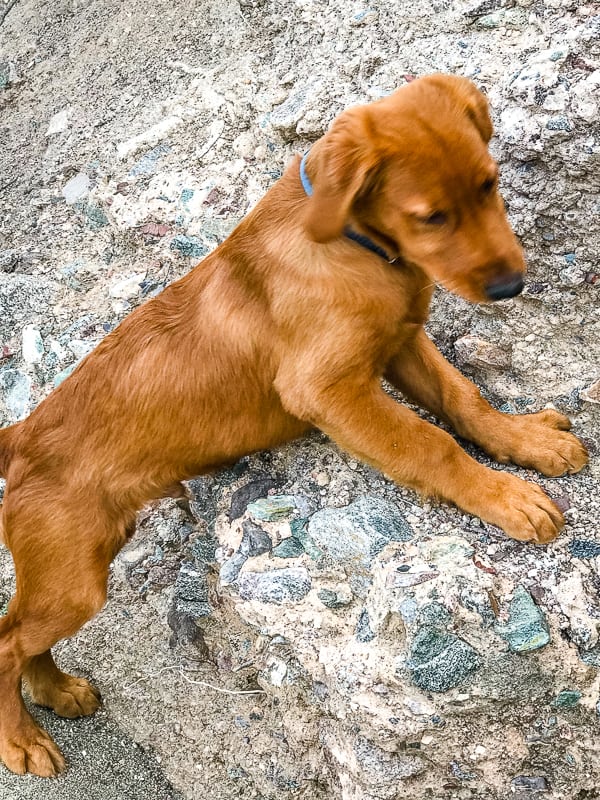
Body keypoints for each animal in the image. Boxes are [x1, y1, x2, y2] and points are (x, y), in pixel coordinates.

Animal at [0, 75, 588, 776]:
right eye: (431, 217)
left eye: (489, 185)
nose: (511, 287)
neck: (354, 248)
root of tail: (20, 437)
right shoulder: (330, 391)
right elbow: (433, 442)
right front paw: (504, 496)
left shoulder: (399, 343)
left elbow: (463, 399)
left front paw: (526, 440)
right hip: (72, 578)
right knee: (5, 642)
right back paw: (22, 738)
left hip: (75, 568)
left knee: (22, 635)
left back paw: (56, 690)